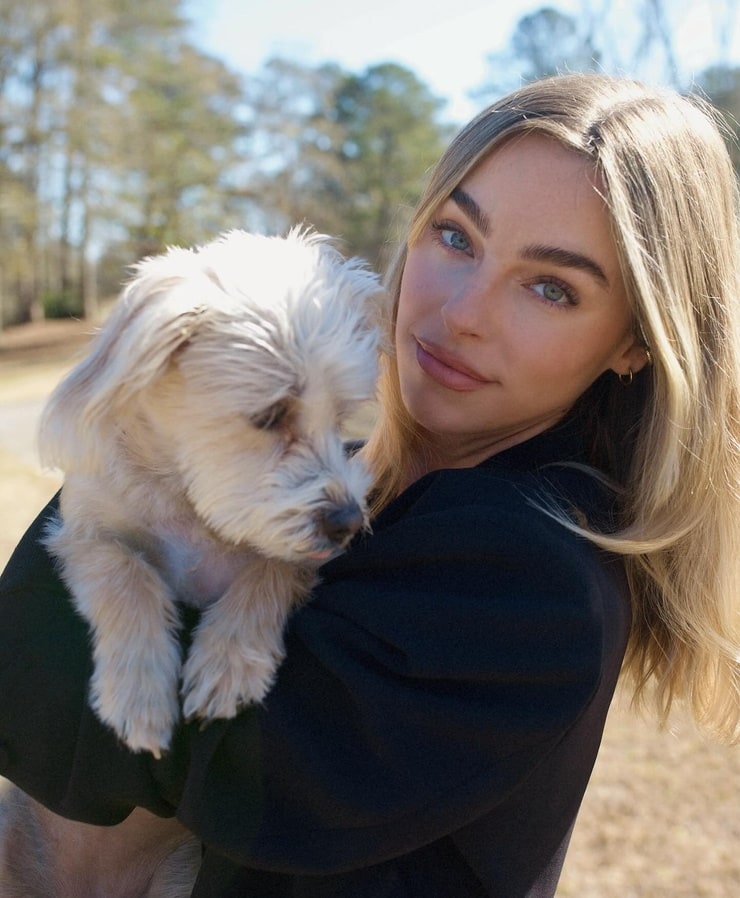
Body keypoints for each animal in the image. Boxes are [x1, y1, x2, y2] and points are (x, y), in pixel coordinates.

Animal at [39, 229, 382, 756]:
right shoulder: (80, 535)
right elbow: (126, 575)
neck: (188, 502)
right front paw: (139, 692)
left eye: (341, 416)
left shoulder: (295, 551)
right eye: (269, 415)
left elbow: (270, 569)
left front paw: (228, 661)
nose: (348, 522)